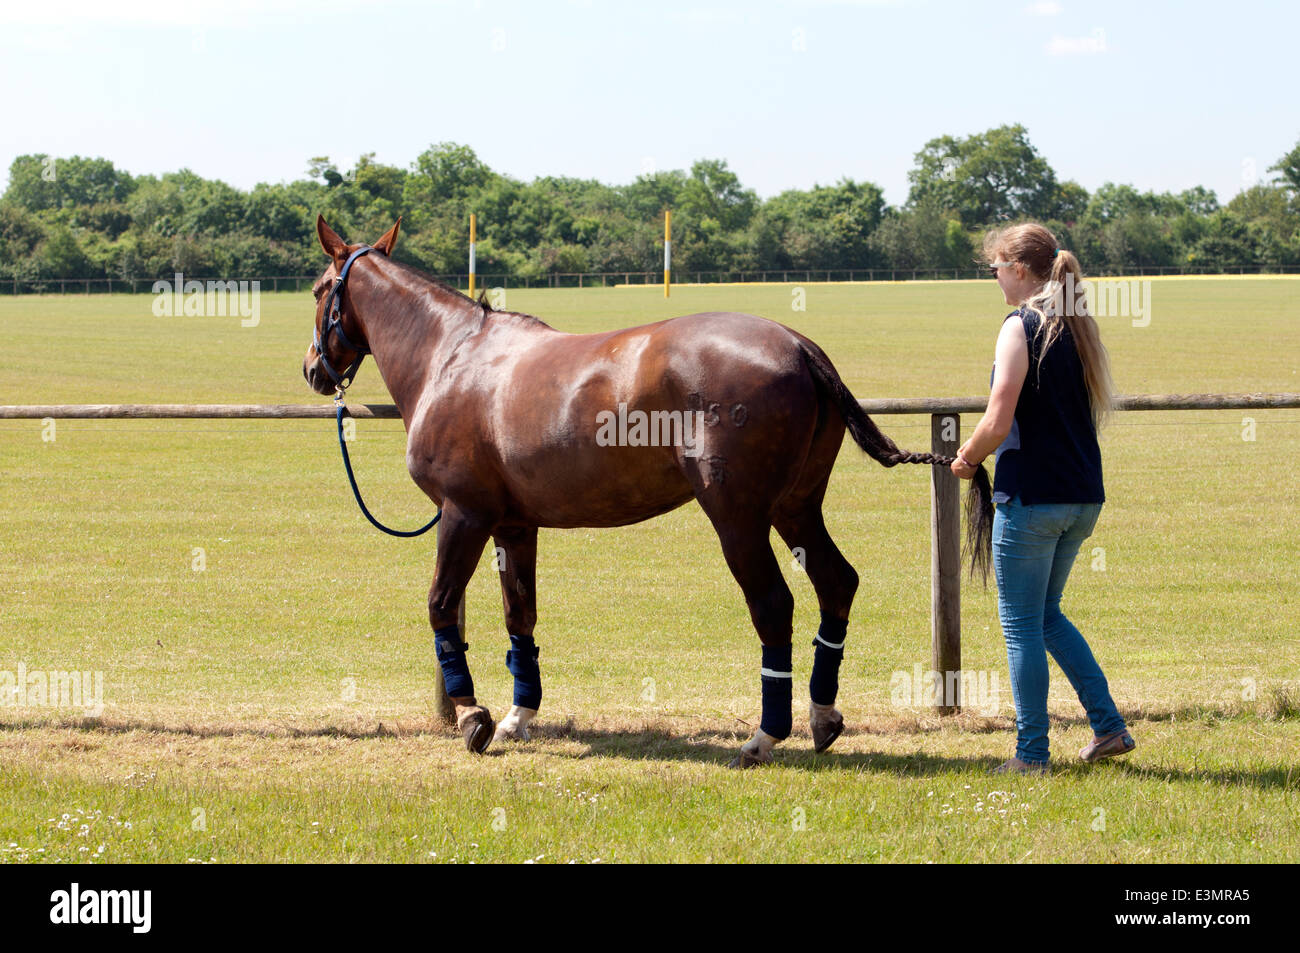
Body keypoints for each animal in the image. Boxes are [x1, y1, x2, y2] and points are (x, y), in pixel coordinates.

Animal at [302, 216, 992, 767]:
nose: (313, 370)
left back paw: (765, 736)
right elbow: (519, 613)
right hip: (795, 509)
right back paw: (821, 717)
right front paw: (519, 717)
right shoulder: (513, 524)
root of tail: (799, 346)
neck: (454, 358)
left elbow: (442, 605)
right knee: (836, 582)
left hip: (738, 517)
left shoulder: (463, 514)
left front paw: (473, 716)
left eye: (316, 291)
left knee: (774, 605)